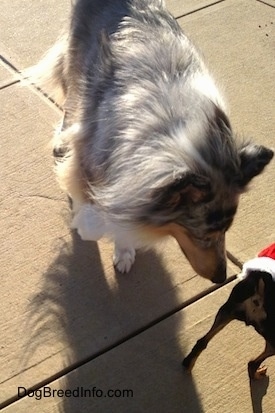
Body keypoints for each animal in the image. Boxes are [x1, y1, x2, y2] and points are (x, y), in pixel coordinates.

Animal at [30, 0, 274, 280]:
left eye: (225, 231)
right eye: (203, 235)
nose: (221, 277)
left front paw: (123, 249)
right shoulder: (92, 157)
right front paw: (90, 224)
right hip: (78, 63)